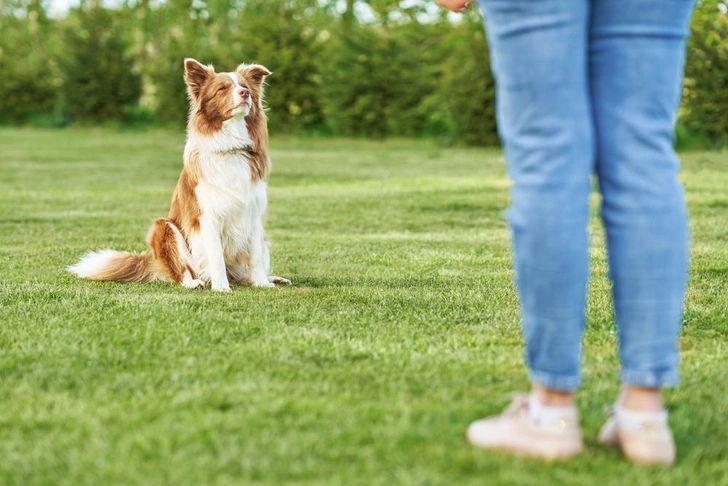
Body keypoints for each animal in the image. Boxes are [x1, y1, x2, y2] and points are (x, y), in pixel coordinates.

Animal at [69, 58, 290, 290]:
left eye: (245, 86)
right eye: (222, 88)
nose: (245, 93)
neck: (231, 147)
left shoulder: (253, 212)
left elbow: (255, 256)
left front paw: (262, 283)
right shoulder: (207, 216)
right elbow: (216, 256)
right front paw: (221, 287)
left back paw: (271, 278)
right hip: (164, 227)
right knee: (181, 272)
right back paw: (195, 282)